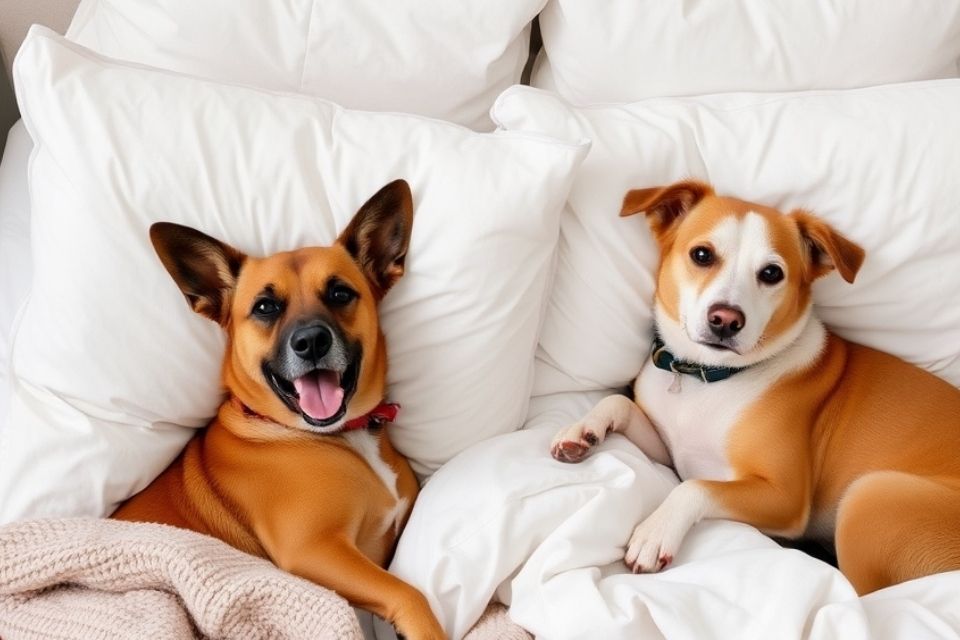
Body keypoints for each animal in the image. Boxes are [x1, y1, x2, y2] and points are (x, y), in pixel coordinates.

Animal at [114, 180, 444, 640]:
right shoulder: (312, 549)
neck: (344, 434)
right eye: (265, 307)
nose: (310, 342)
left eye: (340, 293)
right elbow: (408, 592)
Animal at [552, 180, 960, 596]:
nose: (725, 319)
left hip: (870, 496)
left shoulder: (782, 496)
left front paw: (655, 531)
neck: (707, 377)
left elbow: (694, 487)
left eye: (771, 273)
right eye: (702, 254)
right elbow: (619, 404)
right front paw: (583, 430)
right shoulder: (672, 449)